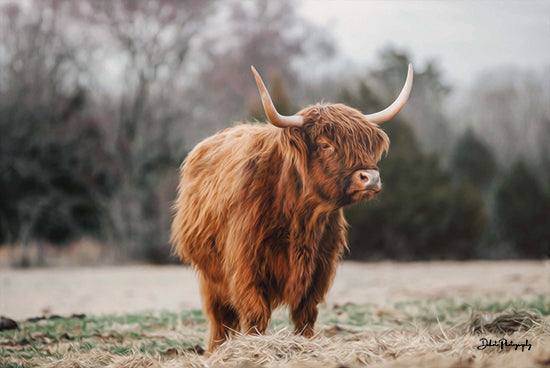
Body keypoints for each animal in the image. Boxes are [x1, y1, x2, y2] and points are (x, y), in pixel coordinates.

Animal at [172, 65, 414, 350]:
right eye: (325, 144)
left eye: (365, 145)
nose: (371, 178)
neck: (301, 217)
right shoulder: (245, 265)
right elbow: (255, 314)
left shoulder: (320, 267)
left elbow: (306, 314)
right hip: (210, 275)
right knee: (220, 318)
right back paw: (217, 351)